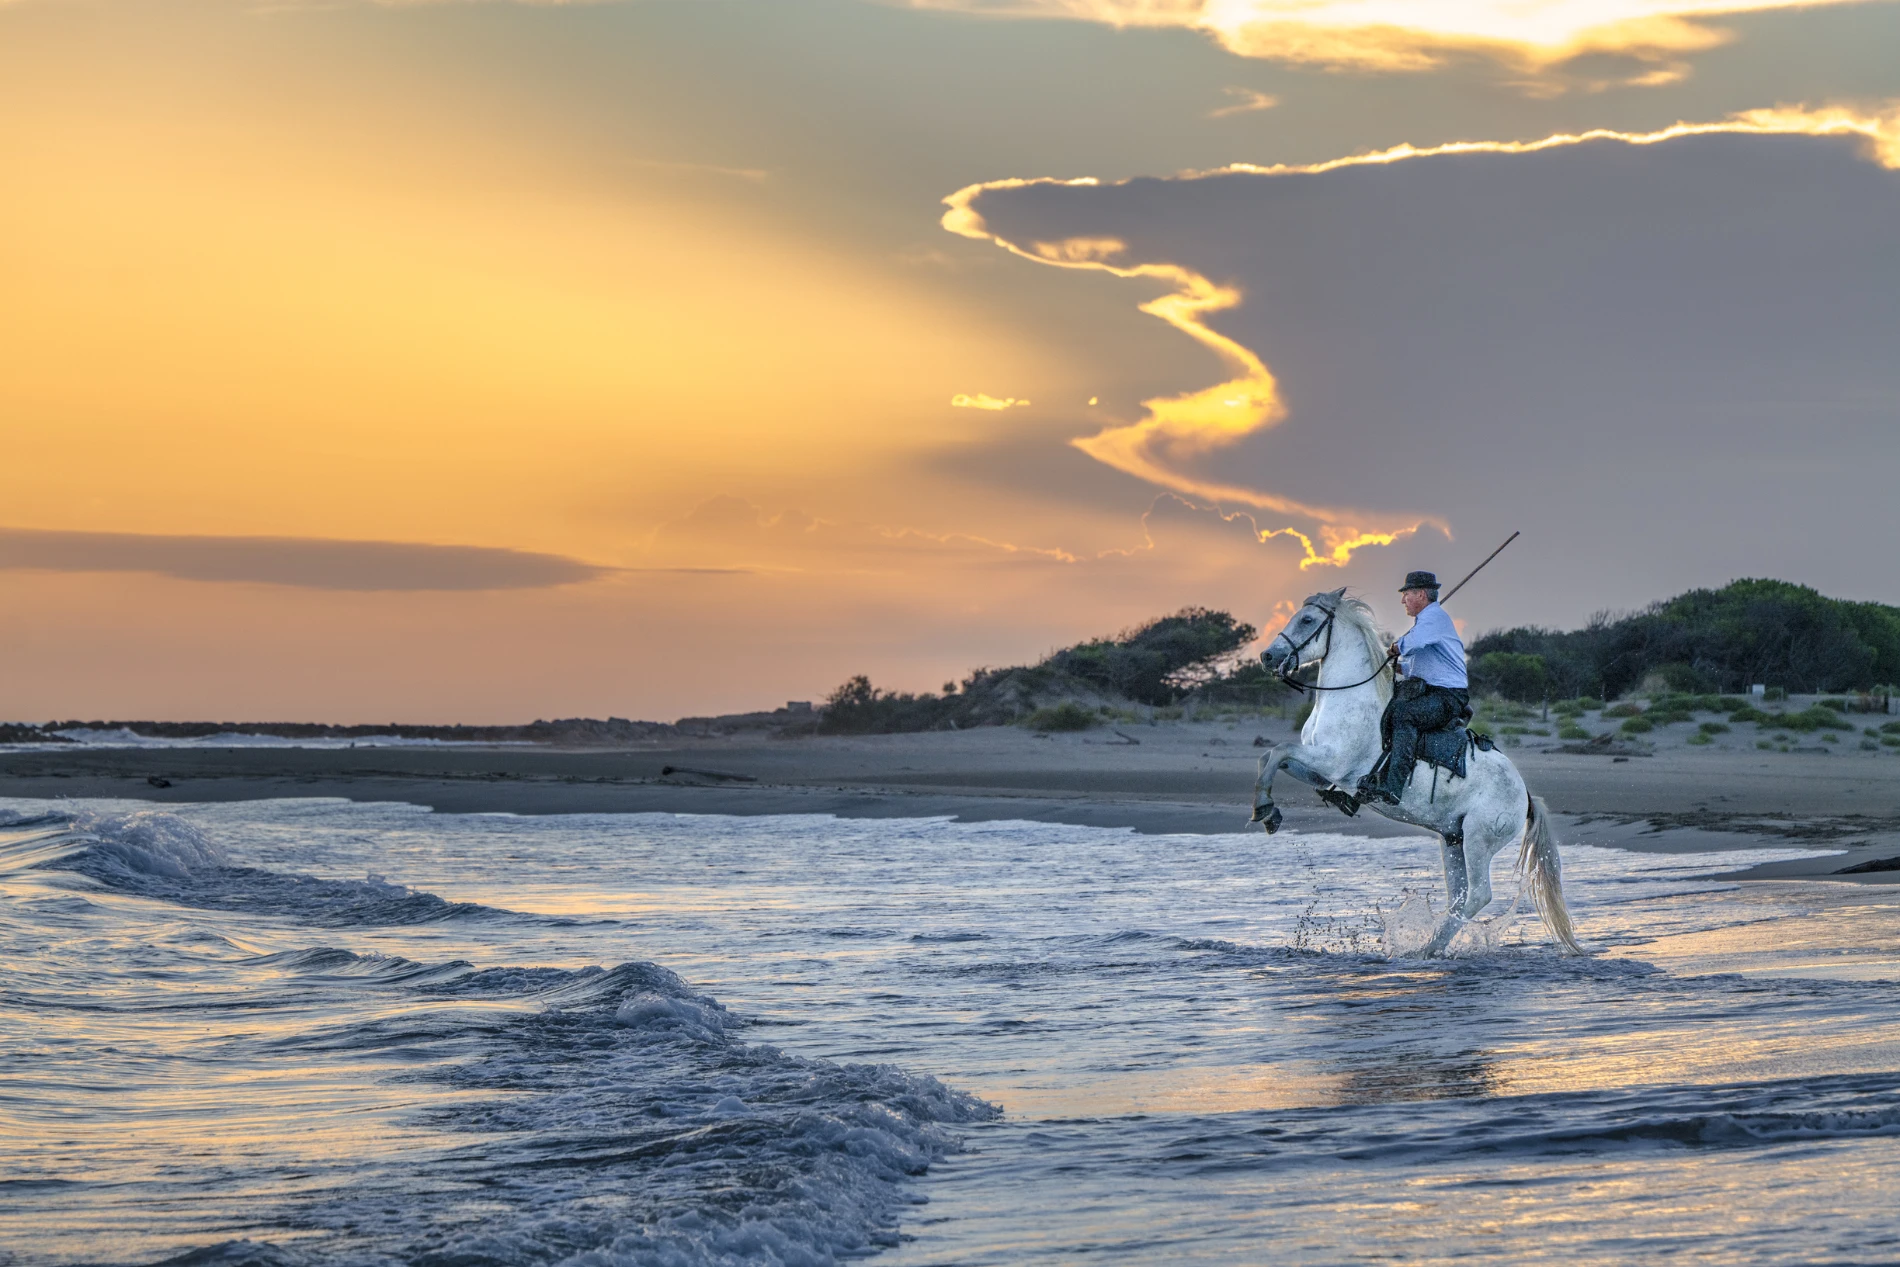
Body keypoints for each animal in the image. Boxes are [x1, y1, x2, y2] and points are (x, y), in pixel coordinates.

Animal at [1250, 588, 1582, 956]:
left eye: (1307, 619)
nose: (1267, 656)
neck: (1349, 699)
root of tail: (1525, 795)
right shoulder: (1322, 773)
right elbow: (1270, 758)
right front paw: (1268, 811)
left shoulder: (1332, 761)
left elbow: (1278, 751)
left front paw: (1264, 809)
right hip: (1453, 840)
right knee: (1459, 897)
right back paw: (1431, 947)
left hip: (1479, 841)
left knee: (1478, 896)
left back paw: (1428, 948)